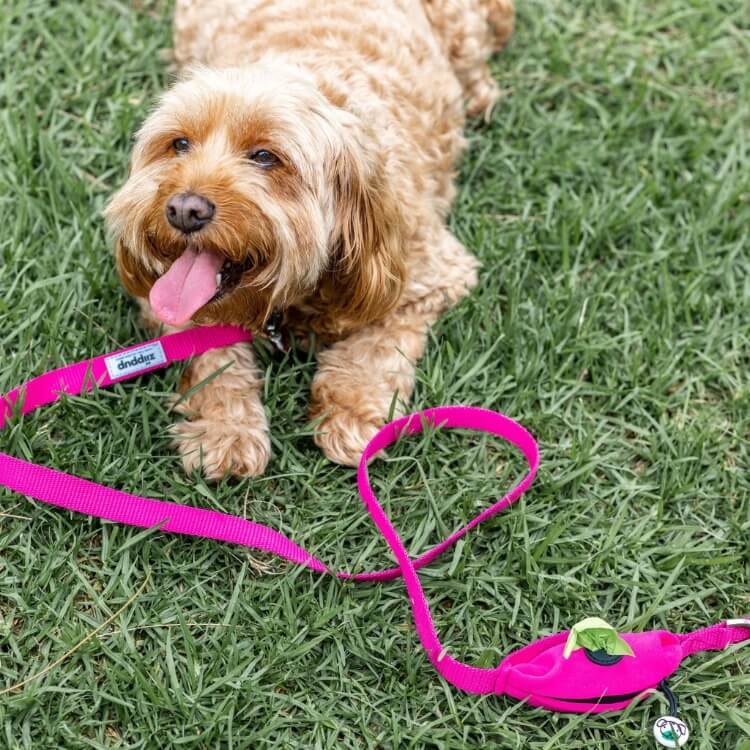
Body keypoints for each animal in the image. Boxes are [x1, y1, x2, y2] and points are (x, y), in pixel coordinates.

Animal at [106, 0, 516, 478]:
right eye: (180, 144)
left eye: (265, 156)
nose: (184, 210)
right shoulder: (163, 298)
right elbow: (212, 357)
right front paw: (226, 430)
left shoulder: (429, 276)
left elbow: (375, 348)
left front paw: (351, 412)